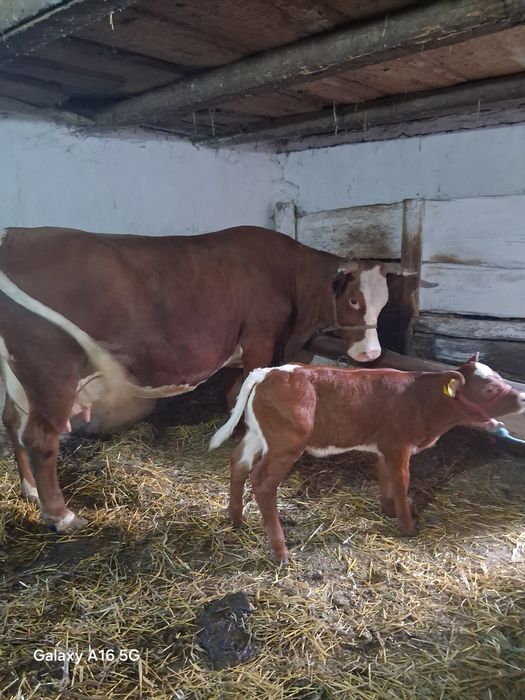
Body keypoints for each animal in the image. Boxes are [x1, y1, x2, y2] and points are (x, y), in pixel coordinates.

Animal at [0, 225, 423, 533]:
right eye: (354, 300)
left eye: (385, 303)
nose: (370, 354)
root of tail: (17, 234)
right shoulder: (260, 340)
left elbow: (236, 393)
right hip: (51, 368)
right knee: (41, 439)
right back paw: (61, 516)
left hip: (16, 374)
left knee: (12, 423)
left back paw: (30, 491)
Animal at [210, 355, 525, 563]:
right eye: (489, 389)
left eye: (498, 377)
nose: (522, 397)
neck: (421, 401)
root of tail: (270, 371)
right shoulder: (399, 445)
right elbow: (401, 481)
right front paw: (408, 527)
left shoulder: (383, 446)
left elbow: (385, 476)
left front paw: (388, 509)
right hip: (286, 444)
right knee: (262, 482)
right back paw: (280, 552)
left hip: (257, 435)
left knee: (238, 463)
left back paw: (237, 520)